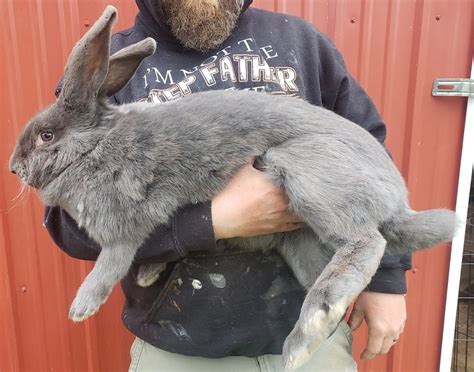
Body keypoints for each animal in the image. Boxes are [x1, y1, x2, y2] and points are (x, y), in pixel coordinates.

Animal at [7, 5, 458, 370]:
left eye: (45, 136)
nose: (13, 168)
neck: (95, 145)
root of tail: (395, 199)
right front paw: (151, 275)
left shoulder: (121, 230)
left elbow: (109, 266)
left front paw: (81, 308)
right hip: (301, 242)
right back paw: (316, 331)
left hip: (309, 175)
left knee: (365, 244)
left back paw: (303, 335)